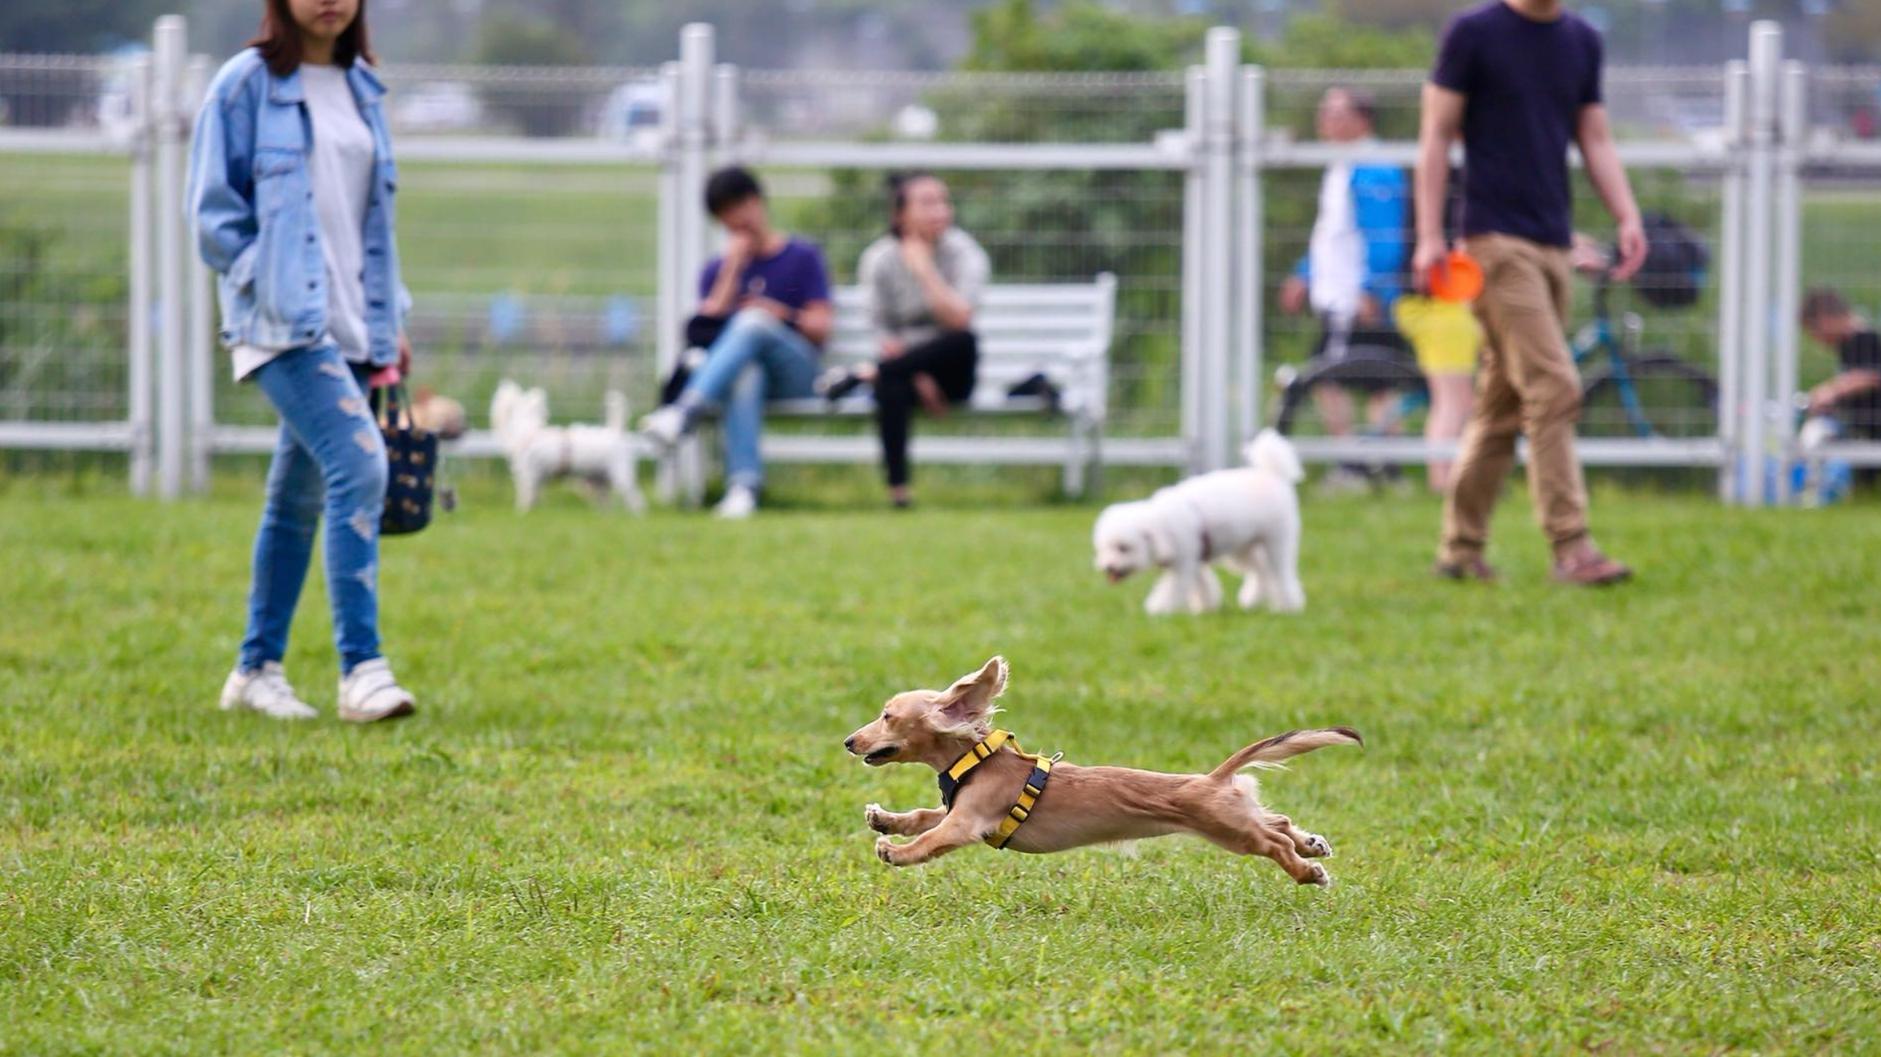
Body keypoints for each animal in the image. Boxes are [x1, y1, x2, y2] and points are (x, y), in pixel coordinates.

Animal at [492, 378, 647, 515]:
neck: (530, 431)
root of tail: (616, 431)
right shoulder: (536, 479)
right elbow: (534, 498)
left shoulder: (529, 475)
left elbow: (525, 498)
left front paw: (522, 514)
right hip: (600, 480)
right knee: (607, 503)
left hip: (621, 474)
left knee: (636, 499)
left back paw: (638, 517)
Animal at [1090, 423, 1309, 613]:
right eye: (1103, 549)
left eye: (1123, 548)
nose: (1107, 567)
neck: (1162, 526)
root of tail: (1272, 474)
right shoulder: (1194, 560)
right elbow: (1202, 586)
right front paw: (1204, 607)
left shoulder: (1184, 561)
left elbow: (1172, 589)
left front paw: (1157, 610)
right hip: (1242, 548)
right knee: (1261, 571)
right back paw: (1251, 599)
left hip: (1276, 541)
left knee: (1280, 574)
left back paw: (1287, 606)